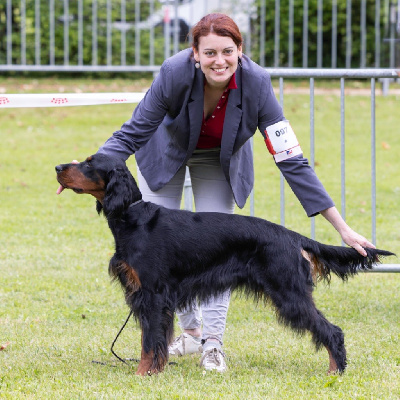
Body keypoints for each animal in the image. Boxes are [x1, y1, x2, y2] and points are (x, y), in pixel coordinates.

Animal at [55, 153, 394, 376]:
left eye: (89, 163)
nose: (57, 167)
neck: (133, 217)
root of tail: (292, 236)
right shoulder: (147, 297)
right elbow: (149, 341)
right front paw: (153, 370)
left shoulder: (152, 295)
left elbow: (150, 342)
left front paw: (143, 375)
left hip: (289, 293)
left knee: (332, 330)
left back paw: (336, 371)